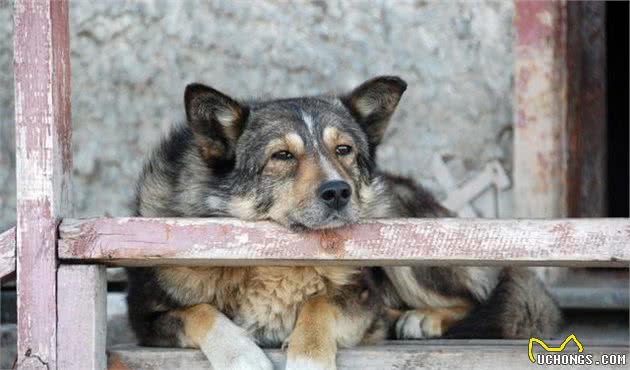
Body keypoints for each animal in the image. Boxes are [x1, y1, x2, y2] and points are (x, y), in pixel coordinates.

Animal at [126, 76, 560, 368]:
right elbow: (201, 312)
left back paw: (421, 319)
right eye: (282, 156)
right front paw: (242, 356)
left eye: (343, 150)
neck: (274, 259)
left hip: (402, 235)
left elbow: (319, 305)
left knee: (478, 298)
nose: (337, 192)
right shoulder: (146, 317)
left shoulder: (362, 296)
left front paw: (308, 359)